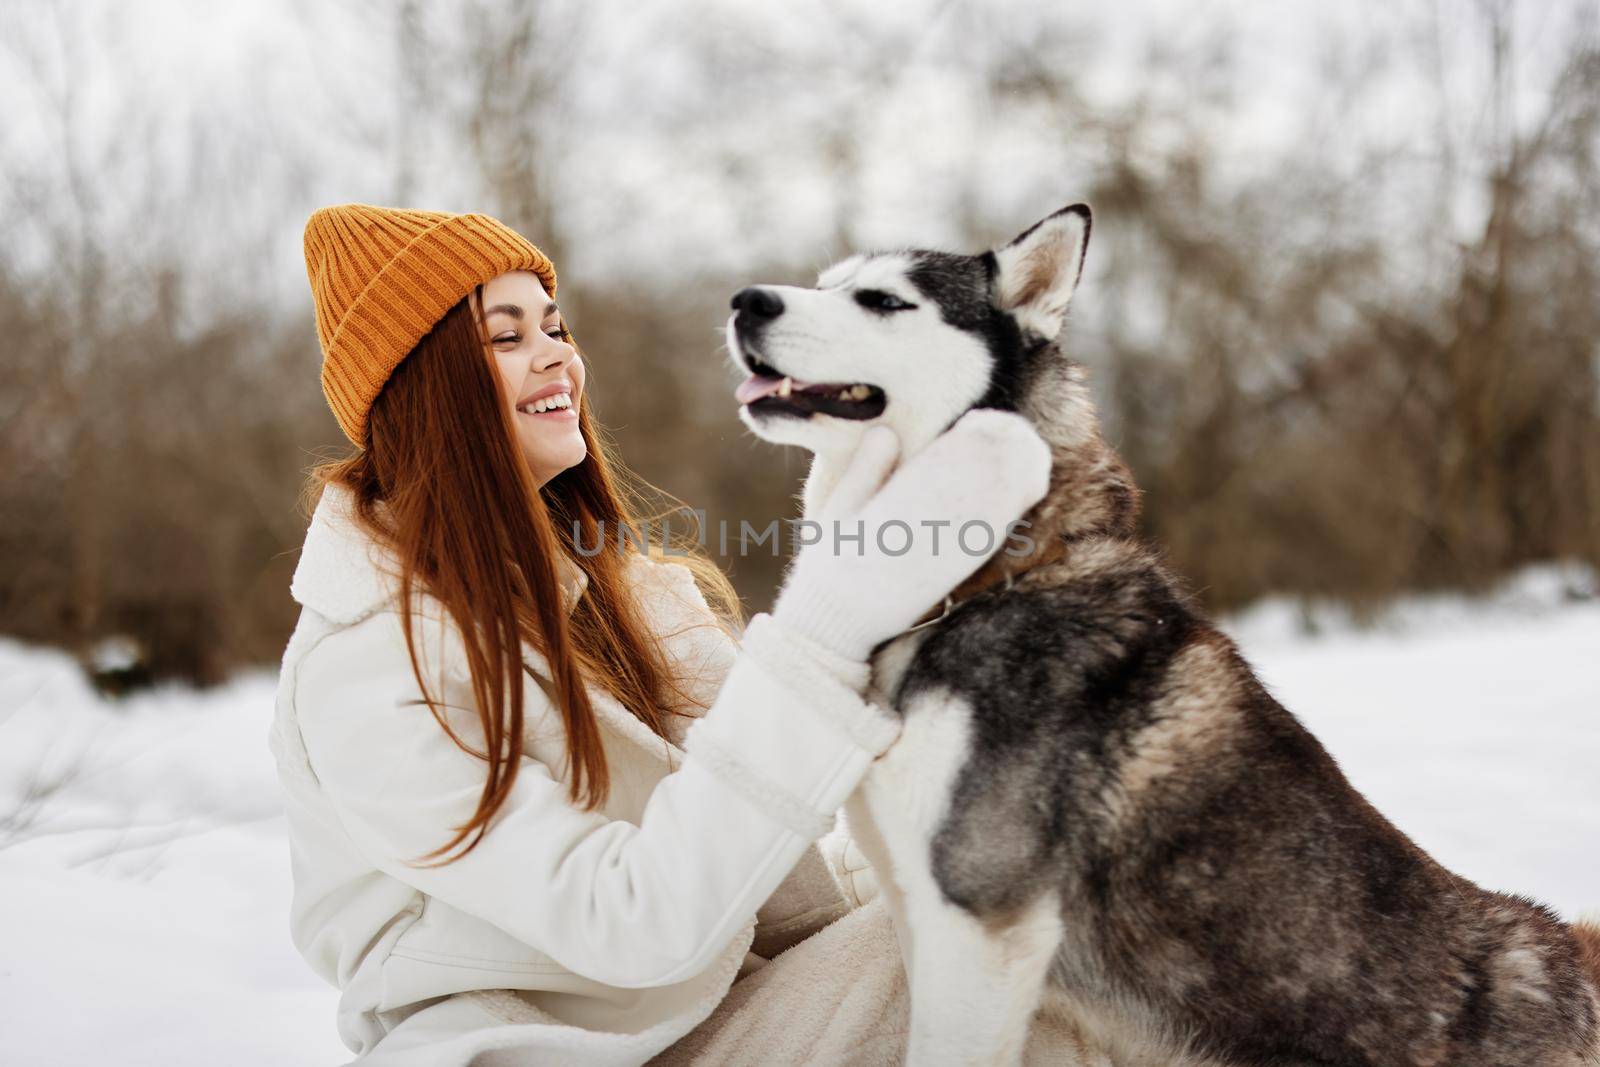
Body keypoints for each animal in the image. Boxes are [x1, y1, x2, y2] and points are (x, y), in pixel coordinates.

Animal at [726, 202, 1600, 1067]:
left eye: (883, 300)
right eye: (825, 283)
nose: (745, 301)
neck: (981, 580)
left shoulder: (979, 924)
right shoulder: (925, 918)